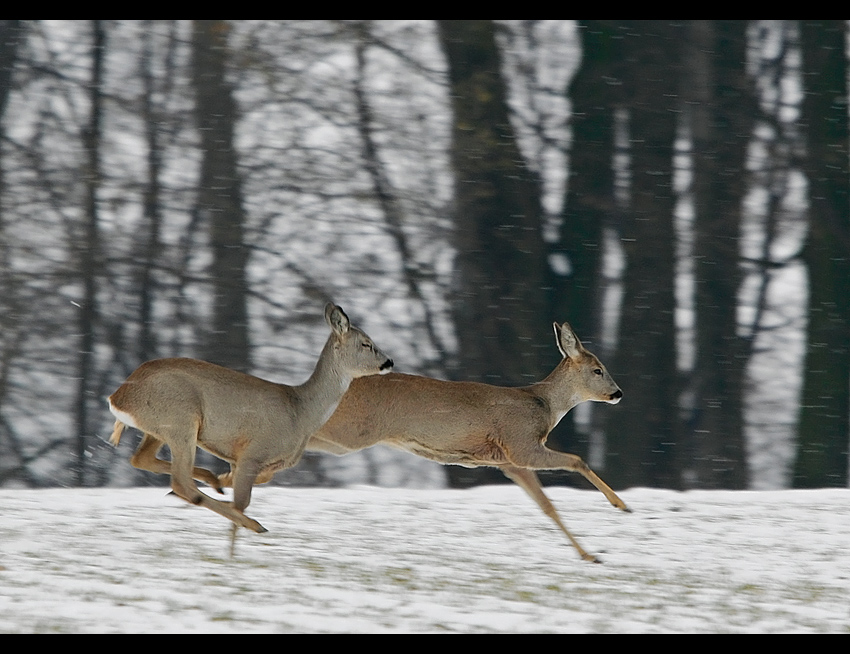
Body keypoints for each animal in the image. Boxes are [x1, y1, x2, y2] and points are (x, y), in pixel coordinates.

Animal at [107, 304, 394, 552]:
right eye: (366, 343)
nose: (389, 362)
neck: (301, 412)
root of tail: (118, 397)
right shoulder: (252, 452)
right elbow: (243, 501)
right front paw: (232, 556)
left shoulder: (257, 461)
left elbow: (247, 491)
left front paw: (224, 485)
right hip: (181, 419)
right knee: (181, 482)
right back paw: (254, 524)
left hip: (160, 429)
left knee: (142, 460)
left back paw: (213, 482)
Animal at [222, 322, 628, 564]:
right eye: (598, 370)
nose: (618, 393)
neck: (542, 403)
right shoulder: (520, 443)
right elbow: (576, 460)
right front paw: (620, 506)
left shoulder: (507, 461)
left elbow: (547, 506)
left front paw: (589, 555)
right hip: (349, 432)